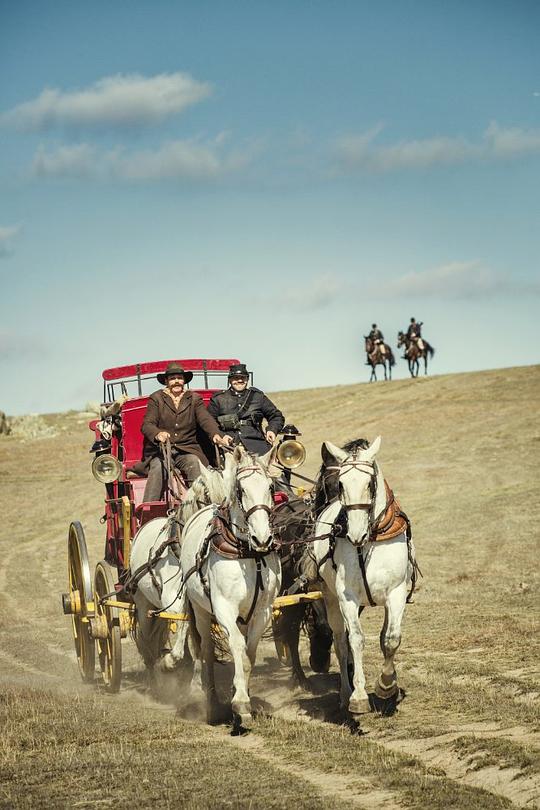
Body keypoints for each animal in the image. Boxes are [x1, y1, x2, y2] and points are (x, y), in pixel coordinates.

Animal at [181, 446, 280, 728]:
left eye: (271, 486)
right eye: (240, 489)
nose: (262, 538)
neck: (249, 555)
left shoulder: (262, 612)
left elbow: (249, 655)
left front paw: (243, 696)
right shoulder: (224, 608)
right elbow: (236, 645)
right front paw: (240, 703)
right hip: (200, 611)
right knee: (204, 650)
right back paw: (211, 702)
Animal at [310, 438, 416, 716]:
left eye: (369, 483)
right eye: (342, 484)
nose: (355, 533)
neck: (368, 542)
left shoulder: (396, 593)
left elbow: (390, 639)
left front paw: (387, 685)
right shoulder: (347, 597)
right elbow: (356, 640)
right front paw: (358, 696)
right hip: (330, 598)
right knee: (340, 641)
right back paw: (345, 693)